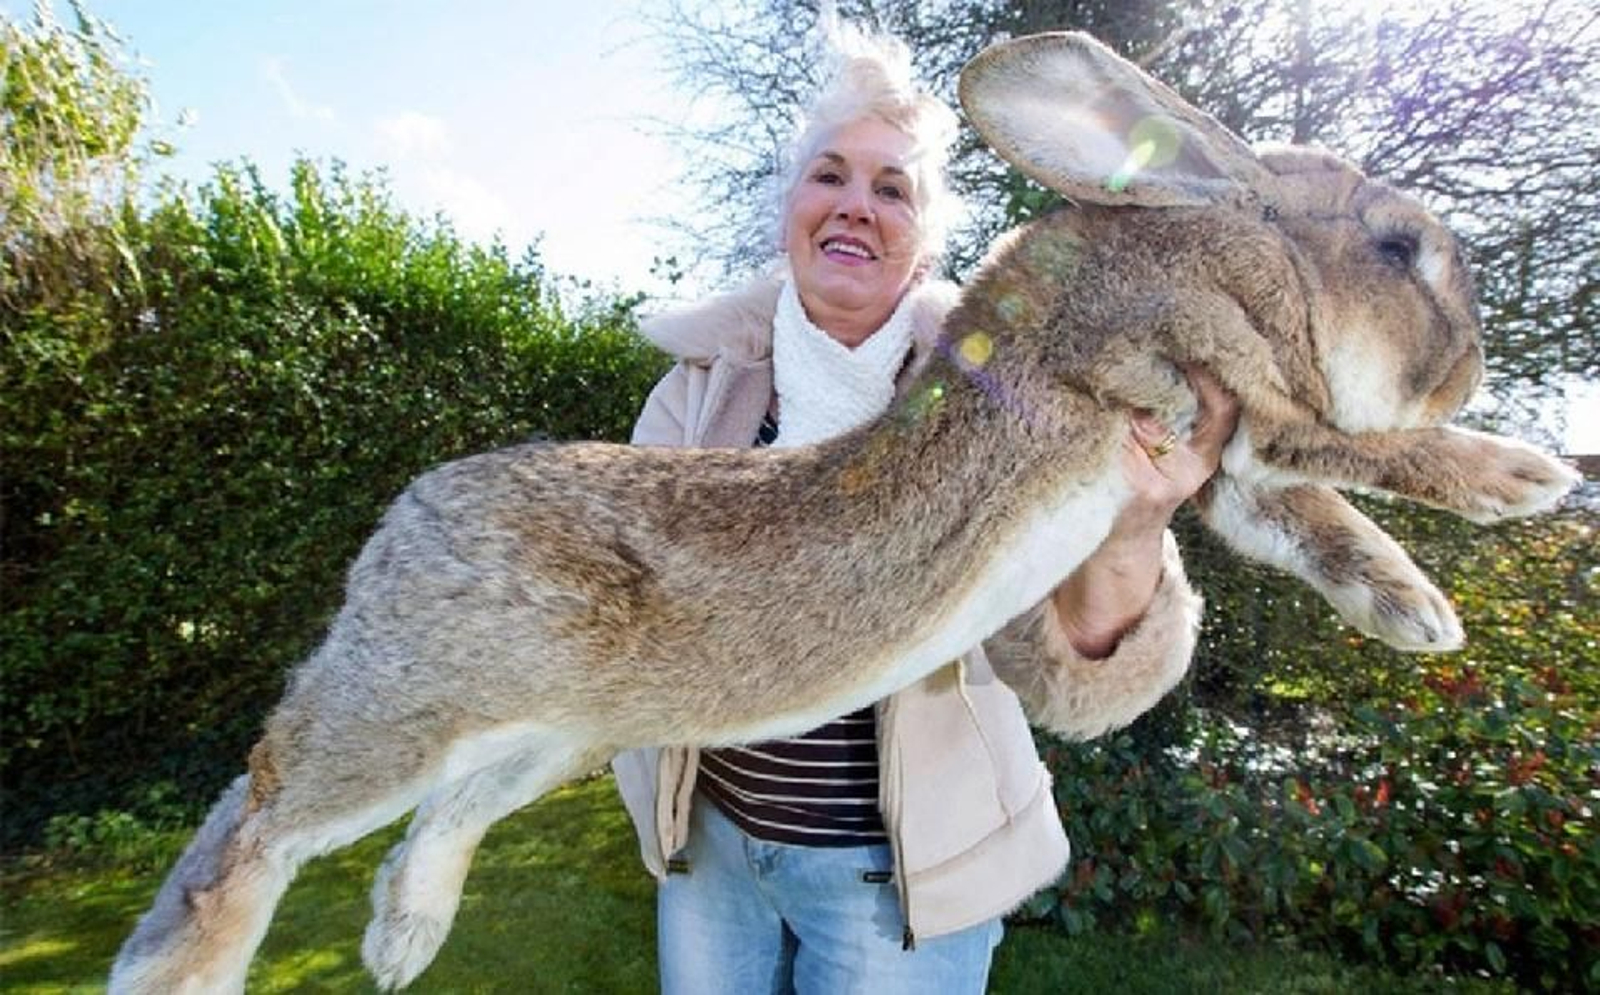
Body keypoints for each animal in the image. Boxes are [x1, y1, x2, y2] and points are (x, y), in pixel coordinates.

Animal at [109, 30, 1580, 994]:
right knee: (257, 813)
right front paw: (1526, 477)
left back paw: (400, 936)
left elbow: (1315, 513)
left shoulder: (1221, 459)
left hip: (551, 734)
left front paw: (1419, 611)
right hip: (414, 702)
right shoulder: (1205, 384)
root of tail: (399, 524)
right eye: (1398, 249)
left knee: (438, 812)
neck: (1216, 241)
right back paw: (187, 968)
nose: (1470, 365)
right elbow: (1355, 447)